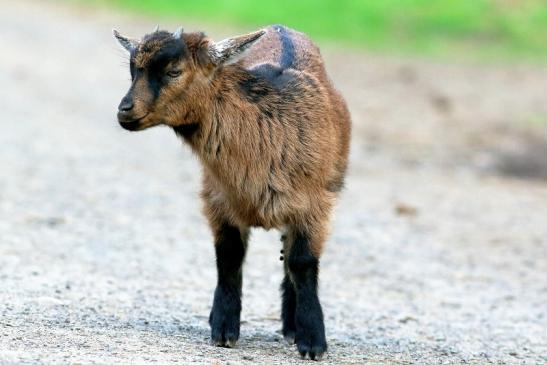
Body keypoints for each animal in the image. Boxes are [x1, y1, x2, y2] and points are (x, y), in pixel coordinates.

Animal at [114, 24, 354, 360]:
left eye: (174, 71)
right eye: (133, 70)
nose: (124, 111)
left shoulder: (314, 205)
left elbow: (302, 263)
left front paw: (312, 341)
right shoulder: (218, 199)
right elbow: (229, 257)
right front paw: (224, 328)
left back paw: (291, 326)